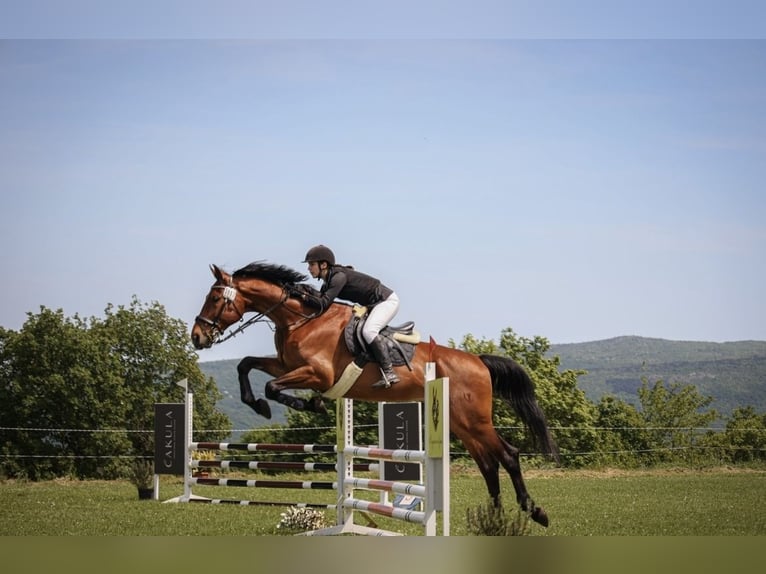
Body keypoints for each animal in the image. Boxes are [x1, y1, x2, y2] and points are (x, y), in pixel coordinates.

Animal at [192, 264, 560, 528]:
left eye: (215, 299)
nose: (197, 337)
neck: (302, 319)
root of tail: (478, 361)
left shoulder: (318, 374)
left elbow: (273, 387)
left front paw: (307, 403)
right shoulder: (285, 364)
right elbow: (246, 364)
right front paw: (261, 405)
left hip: (475, 420)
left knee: (508, 455)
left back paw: (535, 512)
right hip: (461, 424)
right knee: (487, 463)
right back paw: (494, 518)